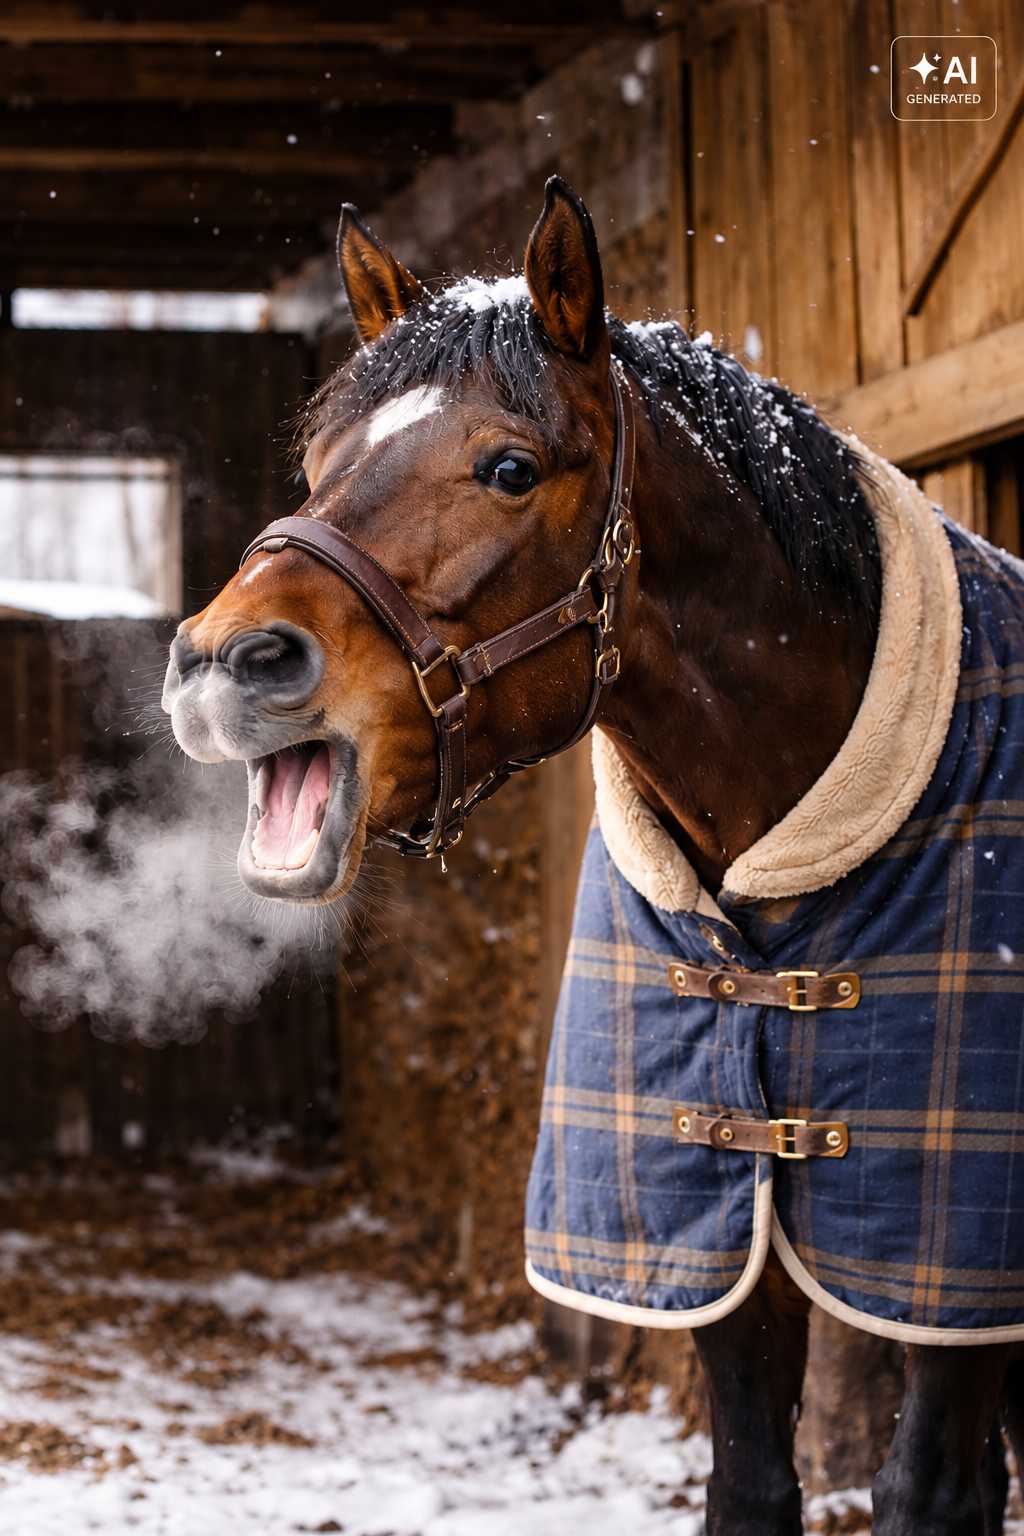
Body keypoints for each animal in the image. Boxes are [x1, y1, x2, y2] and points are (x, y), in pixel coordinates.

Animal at [162, 177, 1024, 1534]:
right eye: (316, 466)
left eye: (510, 468)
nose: (220, 666)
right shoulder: (716, 1238)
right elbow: (750, 1484)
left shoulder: (952, 1280)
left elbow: (928, 1488)